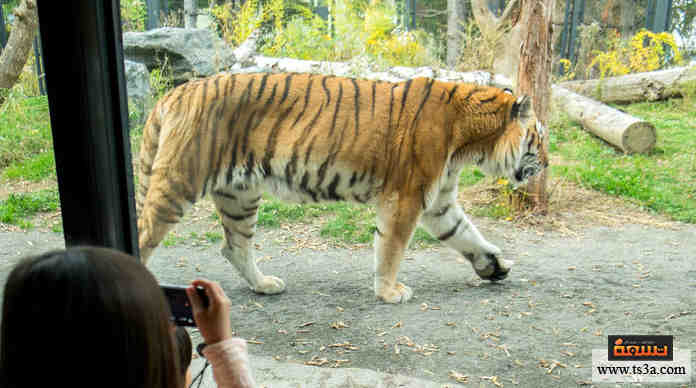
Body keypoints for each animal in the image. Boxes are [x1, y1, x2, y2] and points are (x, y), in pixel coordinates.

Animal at [137, 72, 548, 304]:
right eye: (540, 140)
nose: (547, 164)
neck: (470, 140)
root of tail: (176, 93)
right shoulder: (406, 197)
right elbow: (391, 249)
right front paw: (389, 293)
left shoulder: (439, 202)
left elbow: (467, 234)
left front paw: (494, 266)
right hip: (179, 182)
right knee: (145, 233)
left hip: (240, 193)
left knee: (234, 246)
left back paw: (265, 285)